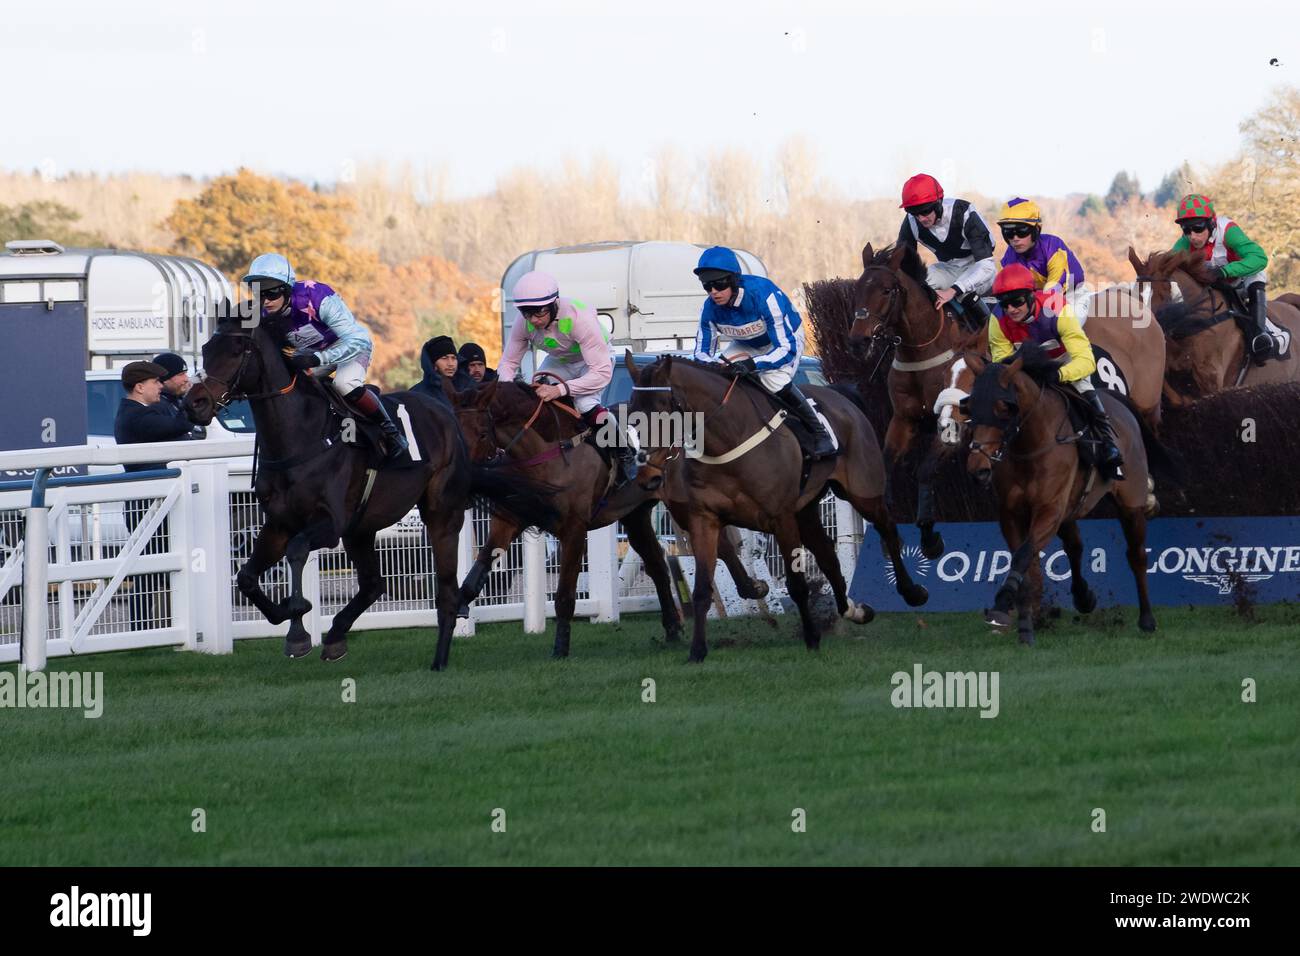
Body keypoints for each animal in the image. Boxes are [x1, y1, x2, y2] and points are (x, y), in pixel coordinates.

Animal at [626, 353, 925, 665]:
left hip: (863, 492)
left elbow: (797, 584)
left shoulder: (781, 519)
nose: (646, 476)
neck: (726, 442)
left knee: (887, 530)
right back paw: (853, 610)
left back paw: (912, 592)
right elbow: (702, 590)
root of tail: (841, 396)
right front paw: (697, 651)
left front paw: (812, 639)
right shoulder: (703, 520)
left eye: (663, 408)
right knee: (828, 554)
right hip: (805, 511)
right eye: (633, 412)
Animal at [961, 343, 1185, 642]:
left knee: (1137, 555)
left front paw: (1001, 604)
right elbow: (1025, 561)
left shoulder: (1049, 509)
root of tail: (1117, 400)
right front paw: (1025, 626)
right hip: (1070, 509)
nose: (978, 469)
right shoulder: (1011, 513)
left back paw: (1147, 619)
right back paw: (1083, 597)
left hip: (1130, 503)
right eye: (970, 406)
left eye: (1003, 407)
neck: (1029, 446)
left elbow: (1023, 555)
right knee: (1075, 547)